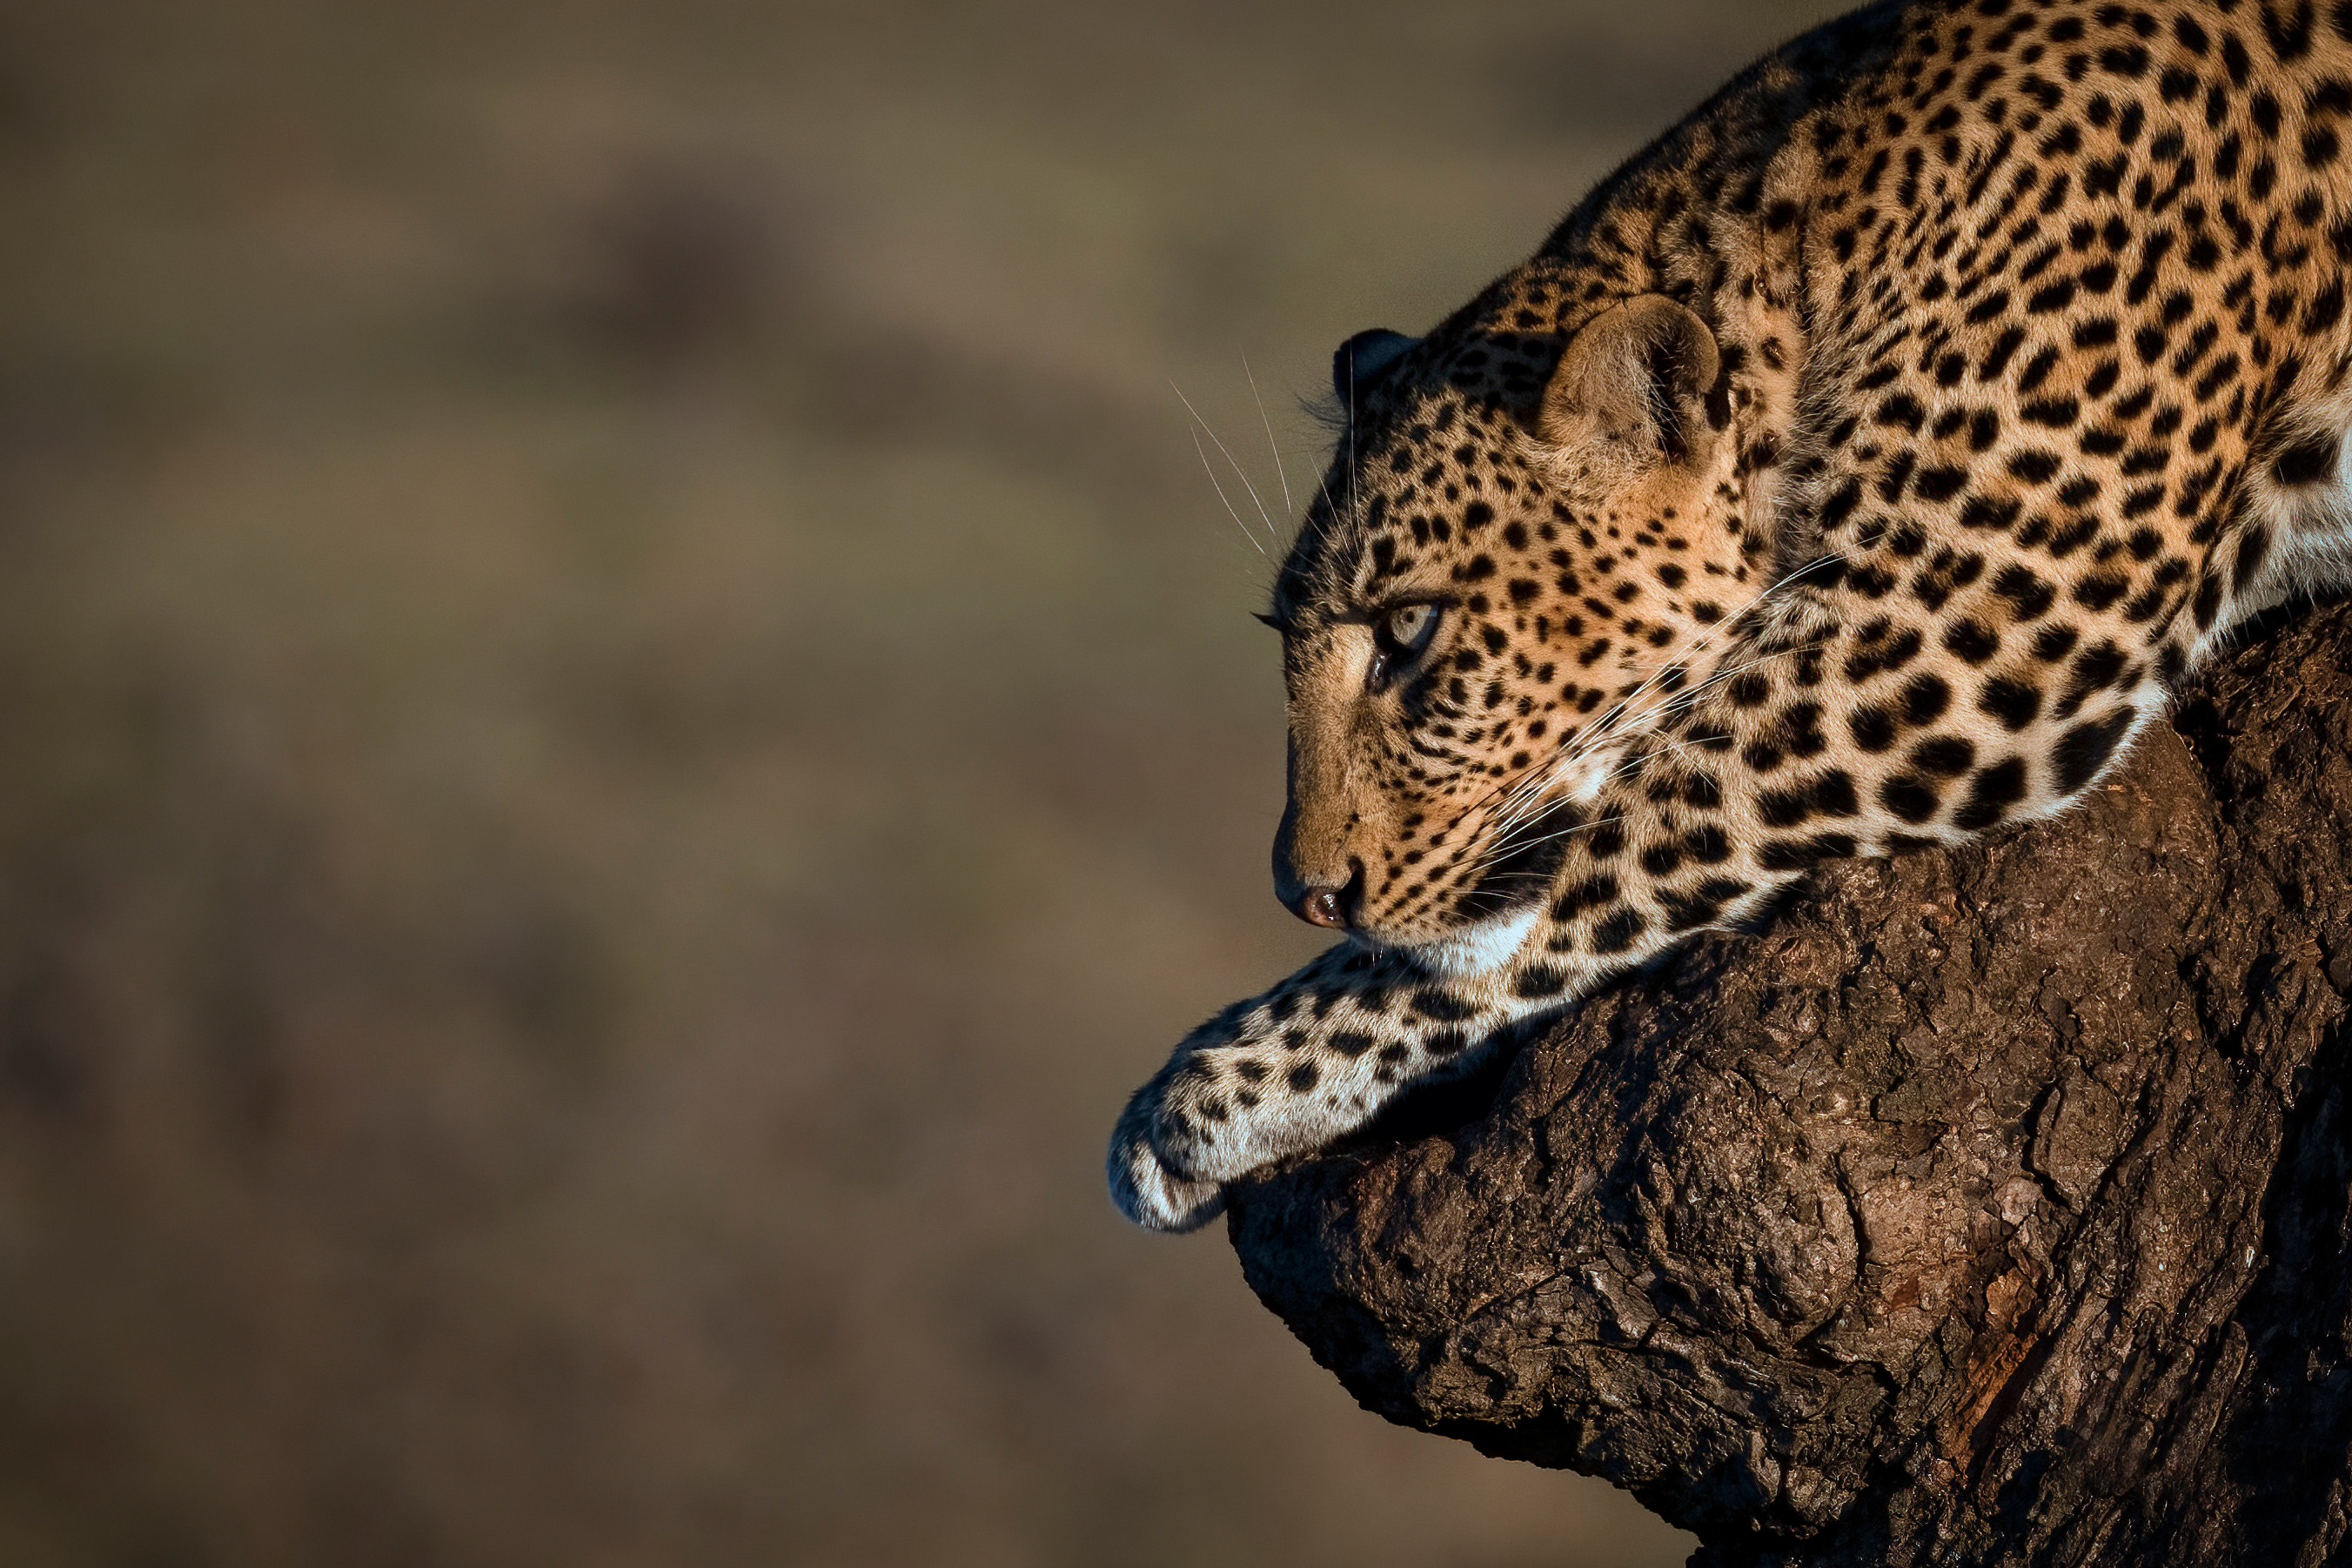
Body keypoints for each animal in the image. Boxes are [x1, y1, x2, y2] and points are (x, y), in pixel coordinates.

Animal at [1109, 0, 2352, 1231]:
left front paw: (1209, 1090)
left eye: (1409, 632)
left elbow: (1622, 838)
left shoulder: (1971, 607)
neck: (1811, 250)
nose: (1307, 897)